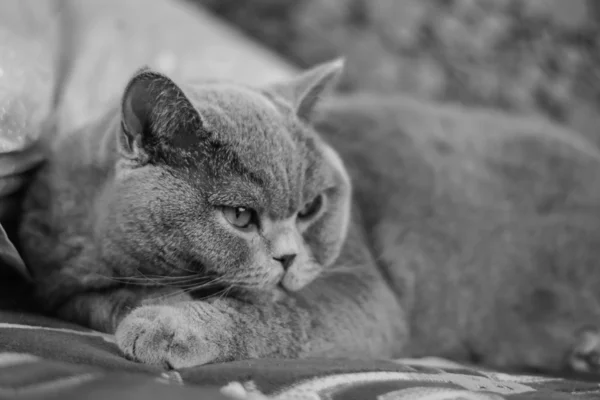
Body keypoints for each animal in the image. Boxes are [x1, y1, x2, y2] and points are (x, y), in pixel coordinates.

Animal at [17, 58, 600, 372]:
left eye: (313, 207)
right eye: (240, 215)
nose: (289, 258)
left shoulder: (364, 291)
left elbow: (280, 314)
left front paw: (172, 324)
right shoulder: (62, 283)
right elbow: (108, 300)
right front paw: (154, 306)